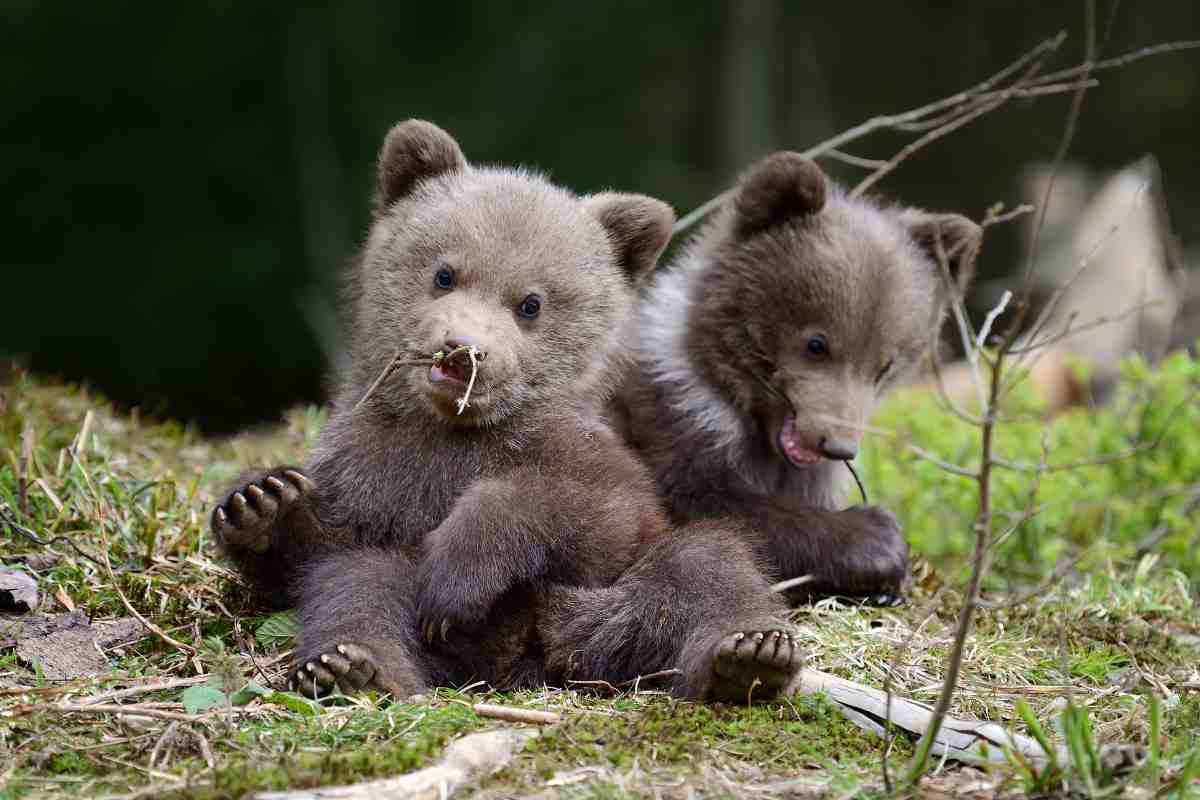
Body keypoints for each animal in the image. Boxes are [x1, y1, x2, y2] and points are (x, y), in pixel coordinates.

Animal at [211, 120, 801, 702]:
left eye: (530, 304)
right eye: (444, 274)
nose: (462, 350)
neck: (455, 426)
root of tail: (534, 663)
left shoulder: (591, 460)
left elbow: (588, 513)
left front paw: (458, 573)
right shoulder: (369, 466)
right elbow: (318, 552)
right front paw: (261, 500)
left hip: (606, 602)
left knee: (706, 561)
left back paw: (747, 656)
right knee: (358, 585)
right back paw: (355, 667)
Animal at [605, 152, 982, 606]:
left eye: (885, 365)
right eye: (817, 343)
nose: (837, 446)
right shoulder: (666, 428)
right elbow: (711, 508)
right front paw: (877, 538)